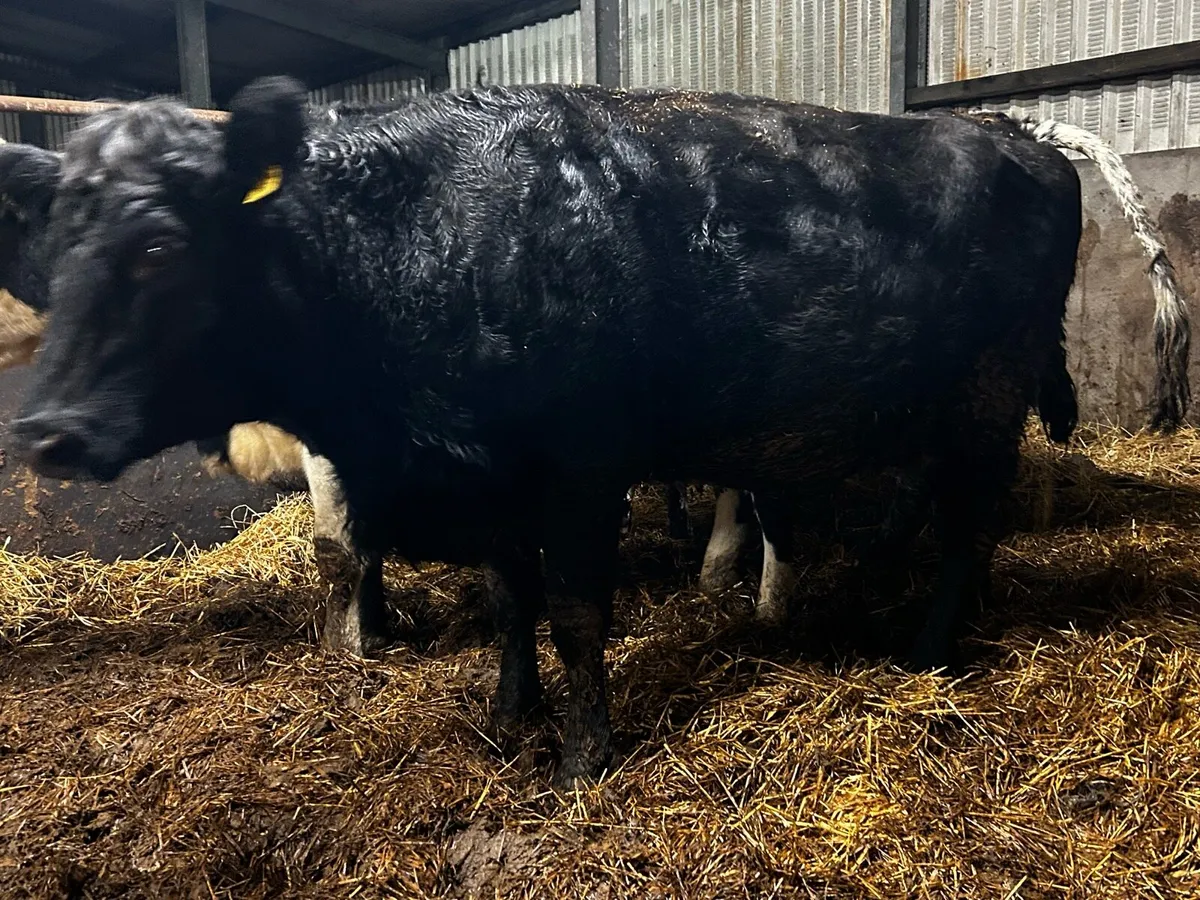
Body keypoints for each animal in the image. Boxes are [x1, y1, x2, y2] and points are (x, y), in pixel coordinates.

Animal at [2, 80, 1188, 788]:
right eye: (51, 244)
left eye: (160, 246)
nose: (46, 432)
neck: (436, 236)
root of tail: (1007, 131)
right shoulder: (494, 480)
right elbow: (508, 603)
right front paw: (506, 715)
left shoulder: (582, 469)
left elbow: (574, 612)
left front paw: (582, 756)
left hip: (987, 398)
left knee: (971, 523)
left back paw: (933, 647)